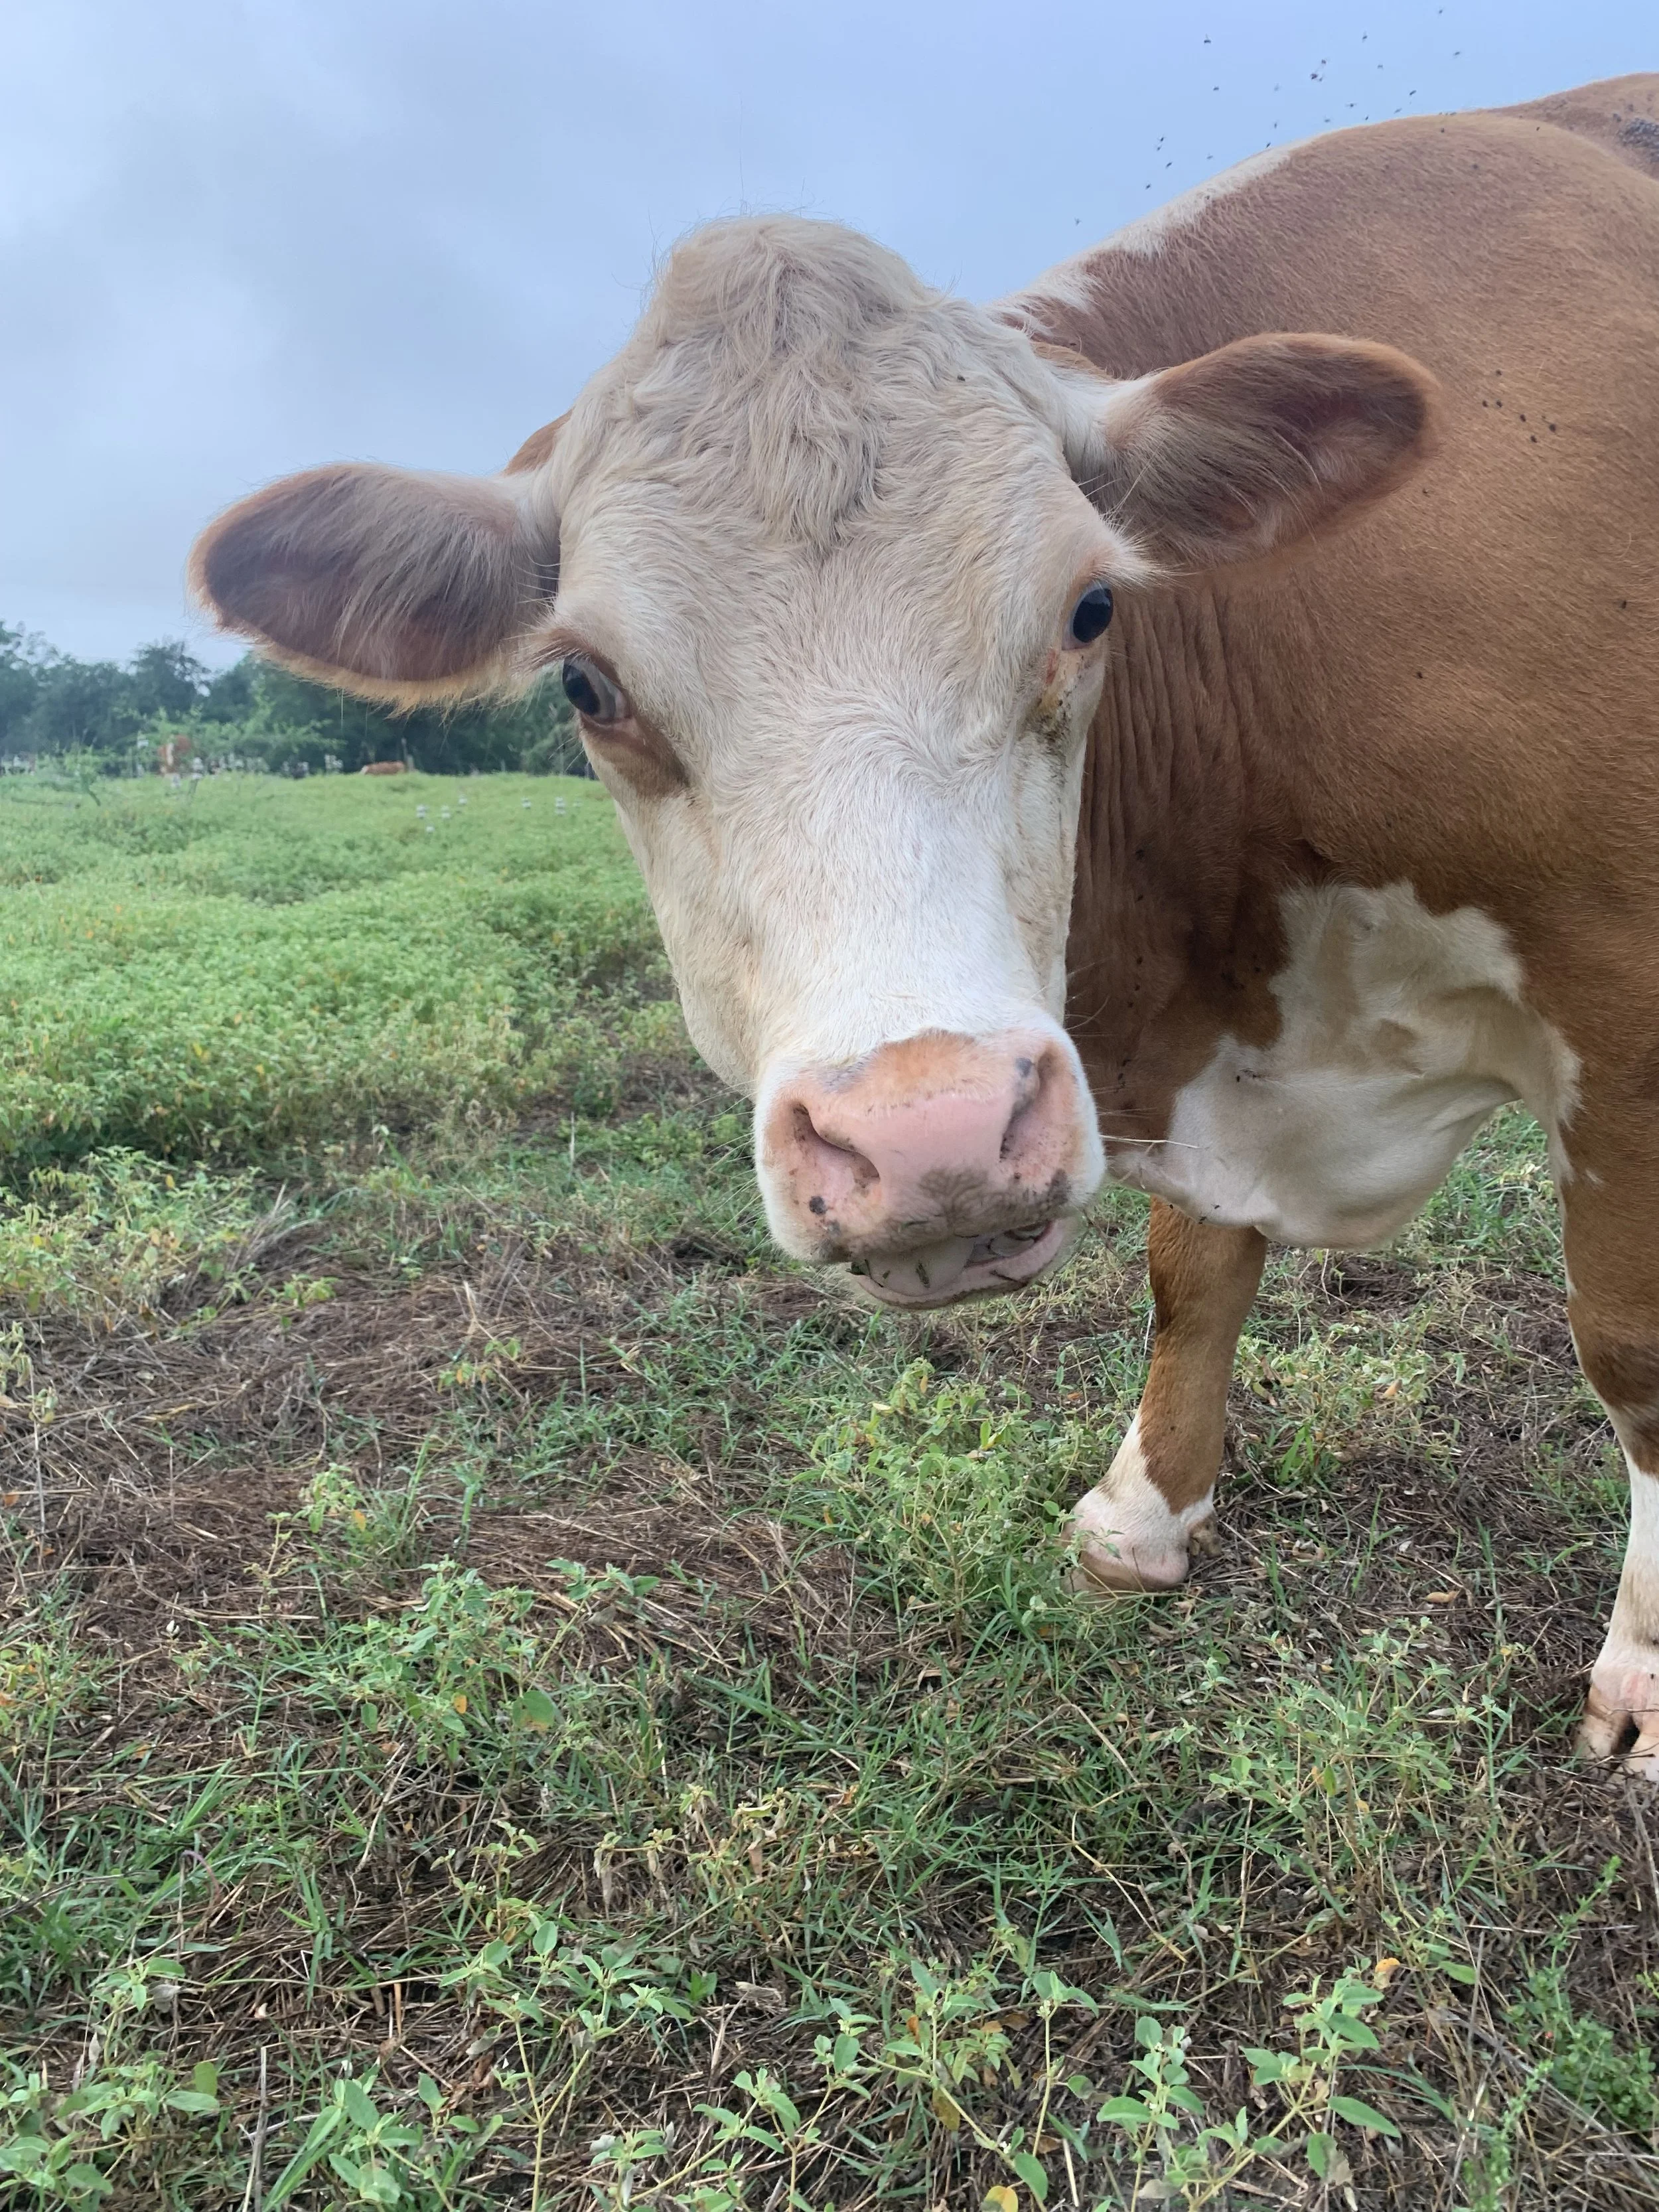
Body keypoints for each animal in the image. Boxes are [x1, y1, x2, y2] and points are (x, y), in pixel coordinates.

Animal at [191, 77, 1659, 1773]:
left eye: (1091, 607)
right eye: (583, 683)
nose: (930, 1137)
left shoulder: (1625, 1004)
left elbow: (1629, 1345)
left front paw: (1644, 1680)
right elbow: (1191, 1271)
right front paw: (1143, 1515)